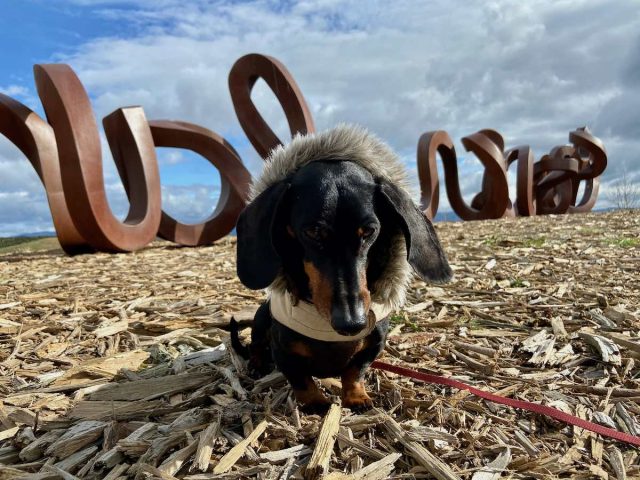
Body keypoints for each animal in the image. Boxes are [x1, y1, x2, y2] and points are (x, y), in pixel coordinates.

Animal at [230, 127, 450, 412]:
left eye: (369, 231)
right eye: (313, 231)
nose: (352, 323)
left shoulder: (374, 344)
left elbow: (354, 371)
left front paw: (356, 396)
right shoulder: (283, 350)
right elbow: (301, 378)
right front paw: (316, 404)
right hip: (260, 317)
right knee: (256, 345)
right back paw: (257, 364)